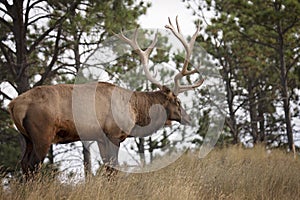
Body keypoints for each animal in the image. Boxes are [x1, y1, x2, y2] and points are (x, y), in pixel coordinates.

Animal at [7, 16, 204, 173]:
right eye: (177, 101)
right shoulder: (113, 134)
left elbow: (108, 168)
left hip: (27, 137)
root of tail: (13, 105)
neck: (135, 112)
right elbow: (113, 170)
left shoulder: (100, 138)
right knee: (33, 165)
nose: (189, 118)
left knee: (24, 164)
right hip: (42, 134)